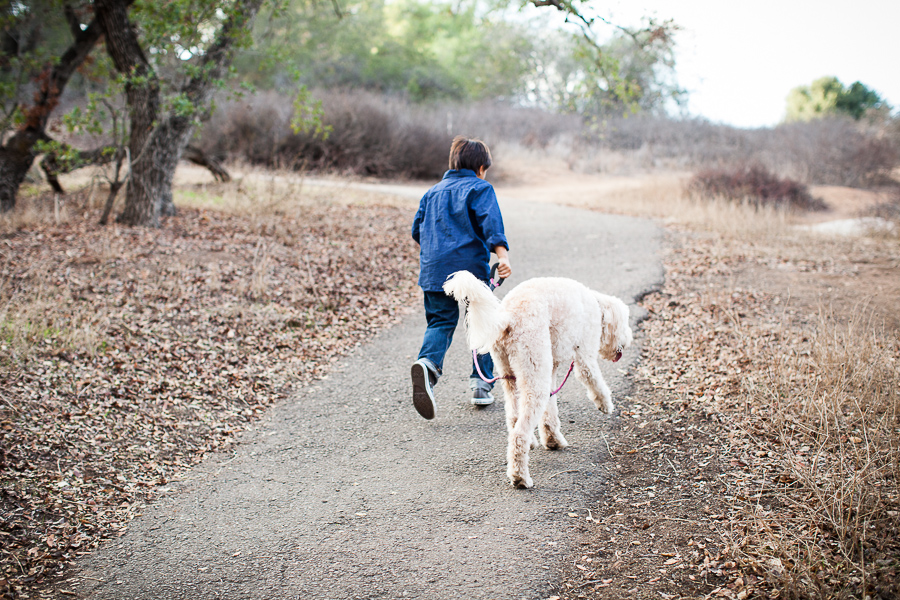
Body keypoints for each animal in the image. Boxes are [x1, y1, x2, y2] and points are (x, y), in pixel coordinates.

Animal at [444, 272, 632, 488]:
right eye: (625, 323)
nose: (629, 339)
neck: (595, 304)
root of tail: (508, 317)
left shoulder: (551, 369)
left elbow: (550, 413)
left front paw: (552, 440)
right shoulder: (584, 356)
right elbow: (594, 380)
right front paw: (605, 404)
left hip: (513, 375)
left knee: (514, 418)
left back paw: (531, 444)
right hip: (534, 376)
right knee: (519, 434)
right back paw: (520, 477)